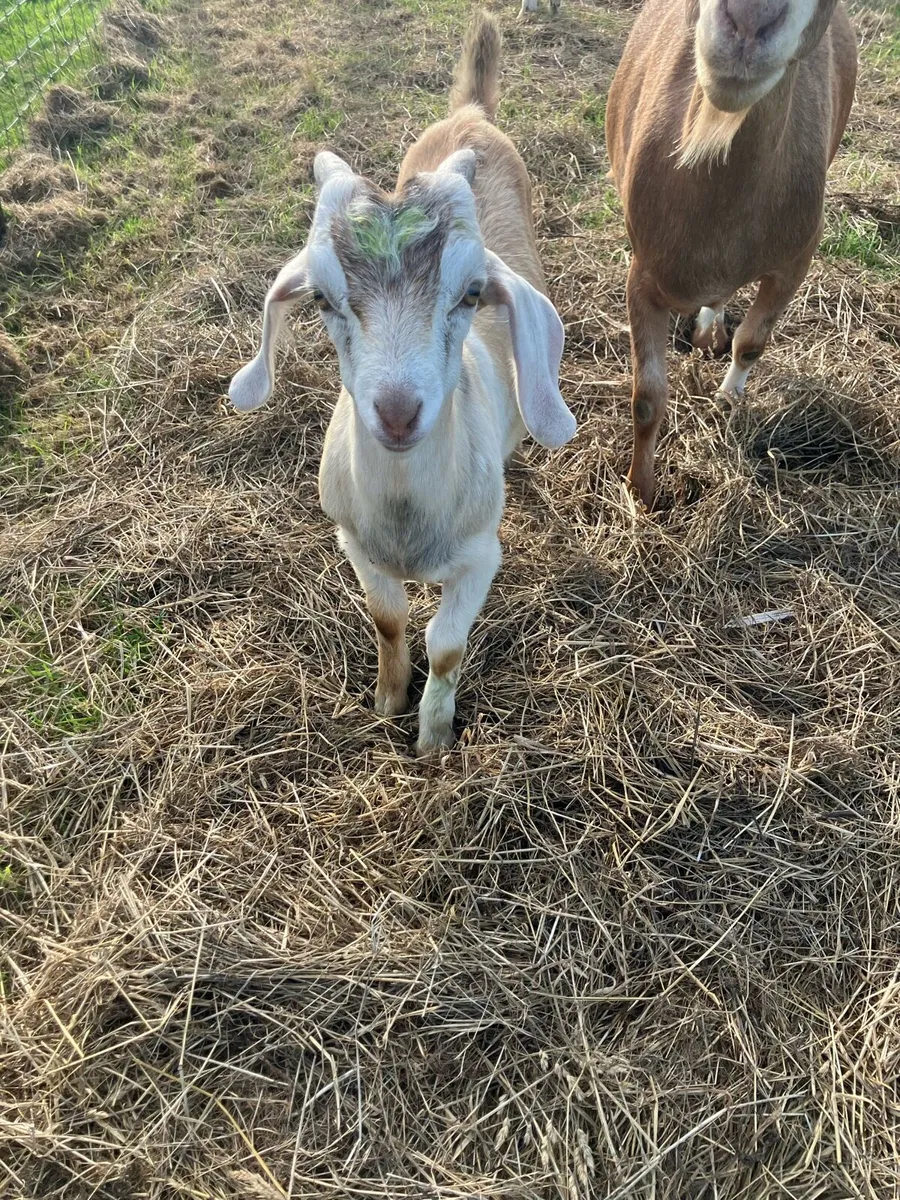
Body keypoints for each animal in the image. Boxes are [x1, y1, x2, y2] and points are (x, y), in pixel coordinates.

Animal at [228, 14, 576, 756]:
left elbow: (446, 646)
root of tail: (470, 115)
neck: (408, 525)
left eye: (472, 294)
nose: (395, 413)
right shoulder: (354, 544)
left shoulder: (480, 558)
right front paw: (387, 701)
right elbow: (387, 619)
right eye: (322, 299)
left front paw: (433, 737)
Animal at [606, 0, 857, 506]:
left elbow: (753, 342)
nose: (749, 22)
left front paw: (726, 399)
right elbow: (646, 398)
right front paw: (643, 492)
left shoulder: (796, 259)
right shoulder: (642, 276)